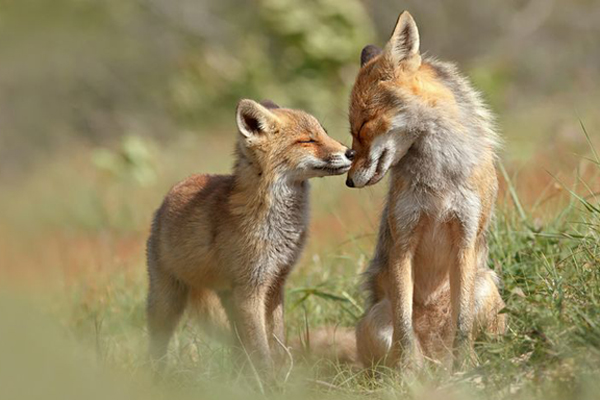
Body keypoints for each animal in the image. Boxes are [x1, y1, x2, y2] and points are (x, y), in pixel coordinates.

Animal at [146, 100, 354, 372]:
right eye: (308, 140)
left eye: (324, 133)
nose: (351, 152)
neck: (277, 225)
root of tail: (172, 191)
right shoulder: (251, 289)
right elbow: (261, 349)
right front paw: (269, 379)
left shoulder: (275, 283)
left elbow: (276, 342)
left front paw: (282, 374)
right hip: (167, 301)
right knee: (157, 344)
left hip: (228, 298)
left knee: (237, 346)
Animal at [346, 11, 506, 368]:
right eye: (351, 132)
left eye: (363, 126)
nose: (348, 181)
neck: (438, 180)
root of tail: (436, 356)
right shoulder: (402, 242)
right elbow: (405, 329)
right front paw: (407, 373)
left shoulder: (465, 238)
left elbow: (462, 325)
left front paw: (467, 369)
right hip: (375, 320)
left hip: (486, 288)